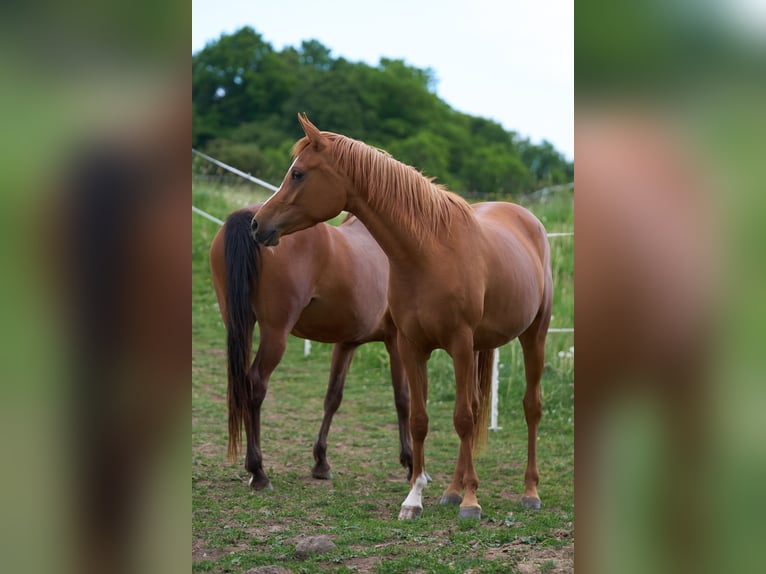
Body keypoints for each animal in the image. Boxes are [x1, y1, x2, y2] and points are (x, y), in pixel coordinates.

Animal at [209, 203, 413, 490]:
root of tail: (248, 216)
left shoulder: (346, 343)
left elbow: (333, 398)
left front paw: (321, 462)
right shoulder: (396, 342)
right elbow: (403, 400)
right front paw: (410, 463)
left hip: (239, 325)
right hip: (275, 334)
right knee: (255, 384)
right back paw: (258, 471)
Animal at [251, 114, 553, 520]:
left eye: (297, 173)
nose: (257, 224)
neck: (428, 253)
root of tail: (528, 219)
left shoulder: (458, 343)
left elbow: (460, 418)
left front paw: (471, 501)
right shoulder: (412, 346)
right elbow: (421, 419)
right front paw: (416, 497)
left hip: (533, 336)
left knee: (530, 408)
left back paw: (529, 491)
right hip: (481, 346)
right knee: (474, 408)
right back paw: (452, 489)